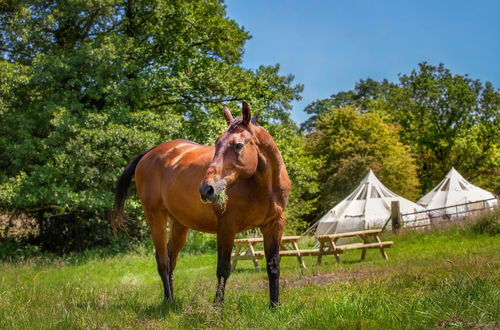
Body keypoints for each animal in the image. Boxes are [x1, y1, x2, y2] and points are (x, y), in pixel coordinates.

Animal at [111, 102, 292, 306]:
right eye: (217, 143)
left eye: (238, 145)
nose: (206, 189)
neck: (264, 186)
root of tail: (149, 153)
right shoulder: (226, 228)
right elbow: (223, 269)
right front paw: (217, 306)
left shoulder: (274, 225)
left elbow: (273, 266)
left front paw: (274, 305)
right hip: (155, 217)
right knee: (163, 261)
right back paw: (168, 300)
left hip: (179, 224)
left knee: (171, 258)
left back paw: (173, 300)